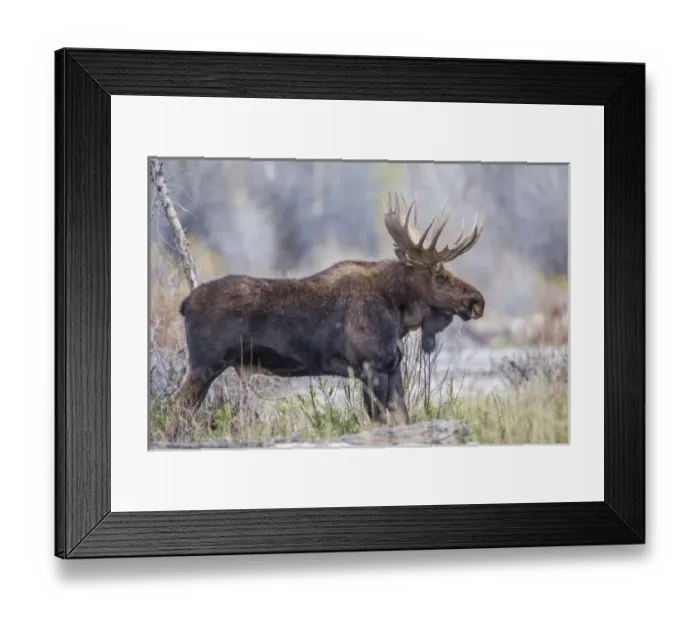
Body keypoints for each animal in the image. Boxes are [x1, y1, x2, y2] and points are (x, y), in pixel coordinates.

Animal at [166, 191, 485, 437]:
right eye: (439, 276)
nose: (477, 301)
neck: (398, 310)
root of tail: (184, 303)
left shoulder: (392, 368)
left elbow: (402, 420)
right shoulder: (371, 368)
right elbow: (380, 424)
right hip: (203, 365)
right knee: (174, 410)